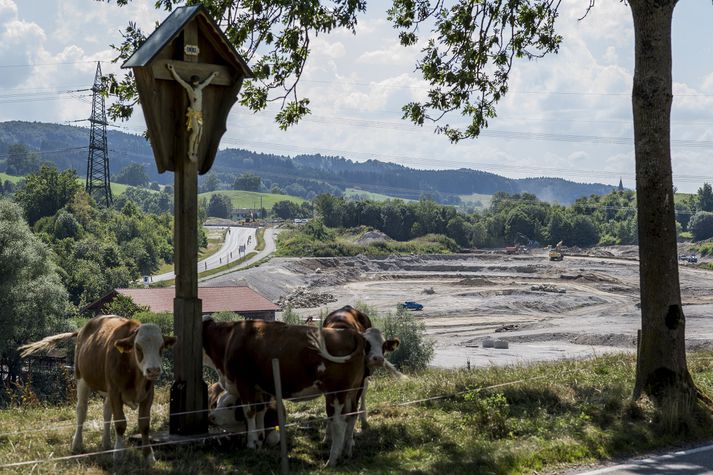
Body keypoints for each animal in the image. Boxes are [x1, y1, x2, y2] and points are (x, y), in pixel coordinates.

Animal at [19, 318, 175, 462]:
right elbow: (120, 423)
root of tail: (82, 329)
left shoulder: (148, 394)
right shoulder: (115, 392)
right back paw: (77, 444)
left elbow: (144, 425)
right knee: (81, 411)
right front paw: (119, 453)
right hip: (81, 378)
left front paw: (149, 456)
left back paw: (106, 443)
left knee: (106, 413)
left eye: (161, 347)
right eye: (138, 347)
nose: (153, 370)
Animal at [203, 318, 364, 466]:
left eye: (230, 405)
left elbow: (249, 412)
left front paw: (251, 443)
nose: (211, 417)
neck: (230, 338)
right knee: (352, 416)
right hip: (352, 392)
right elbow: (260, 411)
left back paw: (332, 460)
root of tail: (350, 333)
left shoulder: (245, 384)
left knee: (339, 424)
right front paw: (259, 441)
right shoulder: (261, 388)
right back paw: (347, 452)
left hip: (336, 393)